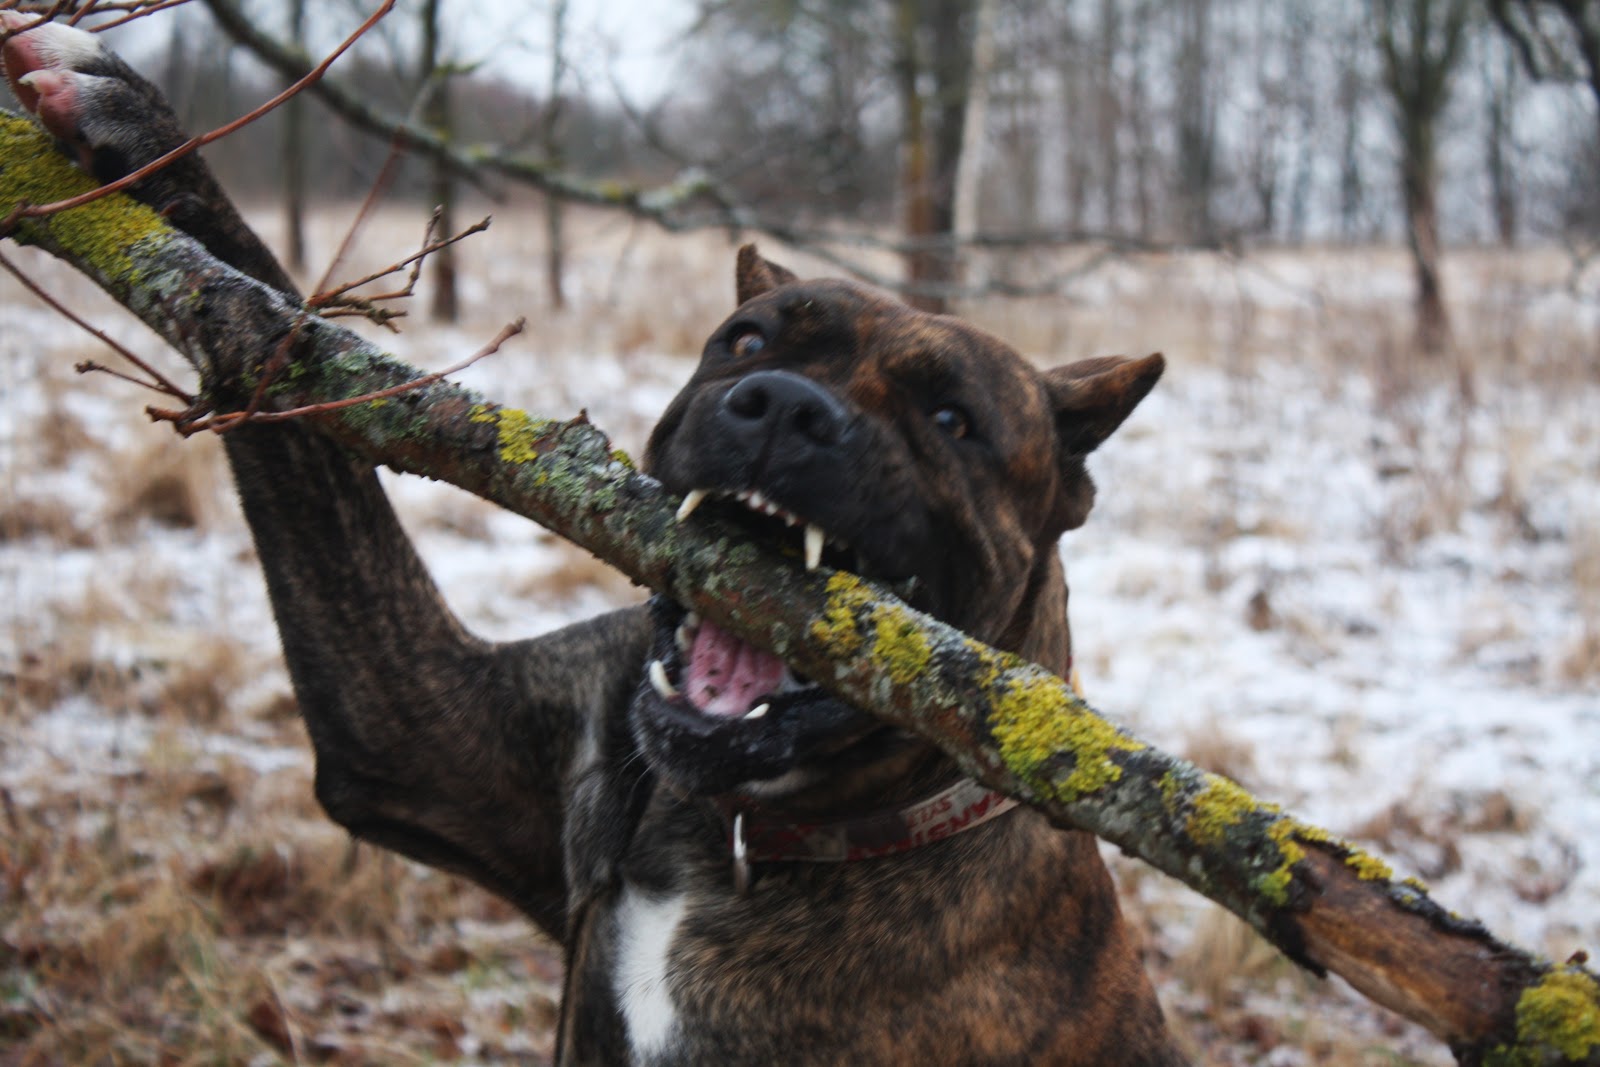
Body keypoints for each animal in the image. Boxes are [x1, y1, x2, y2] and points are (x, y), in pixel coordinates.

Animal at [6, 18, 1190, 1067]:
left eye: (953, 419)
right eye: (745, 342)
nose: (781, 406)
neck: (741, 836)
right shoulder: (415, 722)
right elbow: (275, 337)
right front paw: (139, 127)